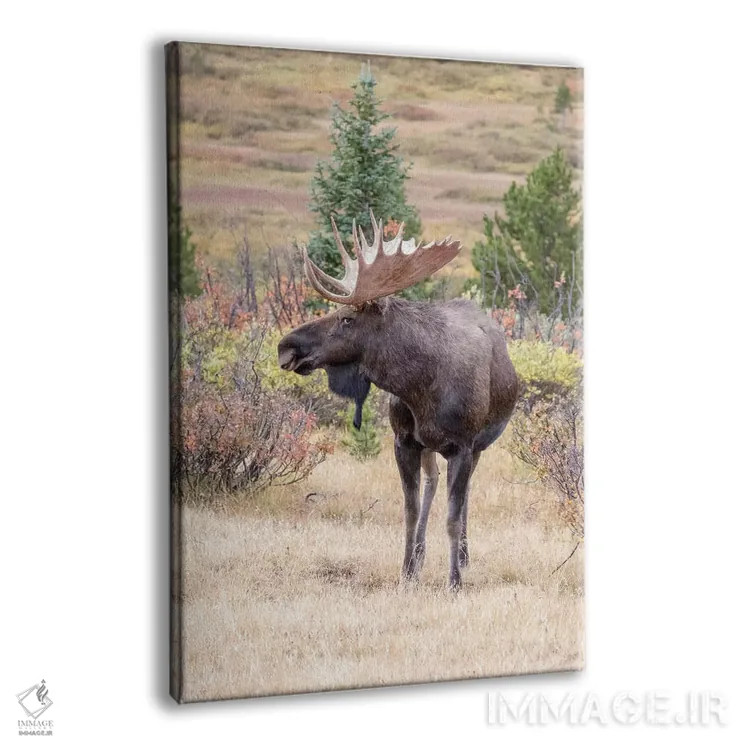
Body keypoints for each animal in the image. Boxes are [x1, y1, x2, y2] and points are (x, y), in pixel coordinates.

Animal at [278, 214, 519, 589]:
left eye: (347, 318)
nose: (286, 346)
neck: (421, 388)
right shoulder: (403, 440)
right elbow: (410, 510)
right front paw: (406, 573)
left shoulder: (463, 444)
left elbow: (452, 516)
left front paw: (454, 582)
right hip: (429, 446)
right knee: (433, 483)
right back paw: (422, 555)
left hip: (478, 444)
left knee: (464, 496)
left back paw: (463, 559)